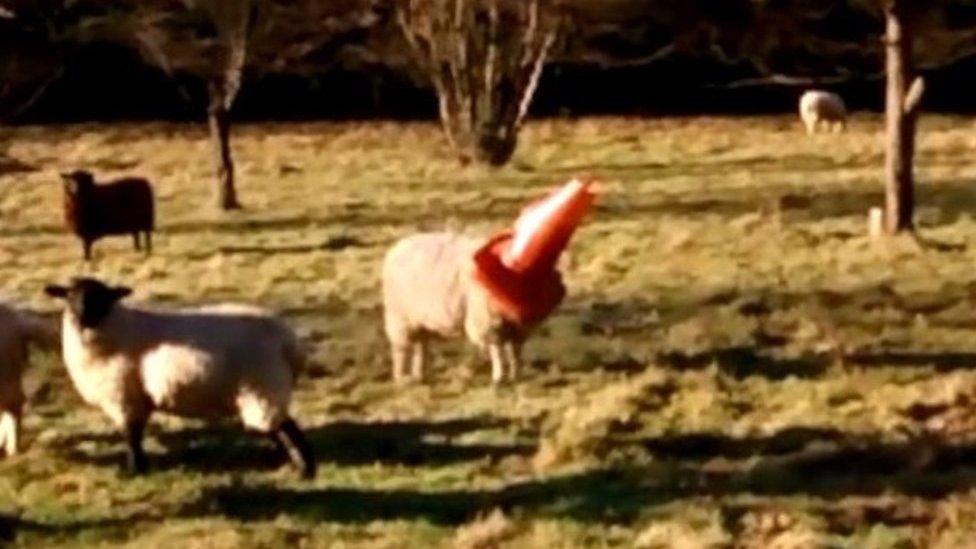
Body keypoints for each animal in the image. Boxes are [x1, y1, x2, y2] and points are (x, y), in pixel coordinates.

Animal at [43, 278, 316, 476]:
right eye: (69, 296)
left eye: (102, 297)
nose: (83, 315)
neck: (115, 329)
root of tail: (290, 342)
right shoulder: (137, 399)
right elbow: (136, 434)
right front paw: (140, 468)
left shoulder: (125, 397)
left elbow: (131, 436)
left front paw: (134, 471)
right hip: (262, 389)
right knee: (276, 428)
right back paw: (293, 465)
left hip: (263, 385)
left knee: (284, 427)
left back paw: (306, 469)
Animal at [384, 231, 548, 386]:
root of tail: (398, 247)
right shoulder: (488, 321)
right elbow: (497, 350)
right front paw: (499, 377)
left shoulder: (518, 327)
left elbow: (515, 351)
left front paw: (516, 375)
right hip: (399, 315)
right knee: (400, 348)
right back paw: (401, 378)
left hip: (420, 320)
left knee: (421, 345)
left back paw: (420, 375)